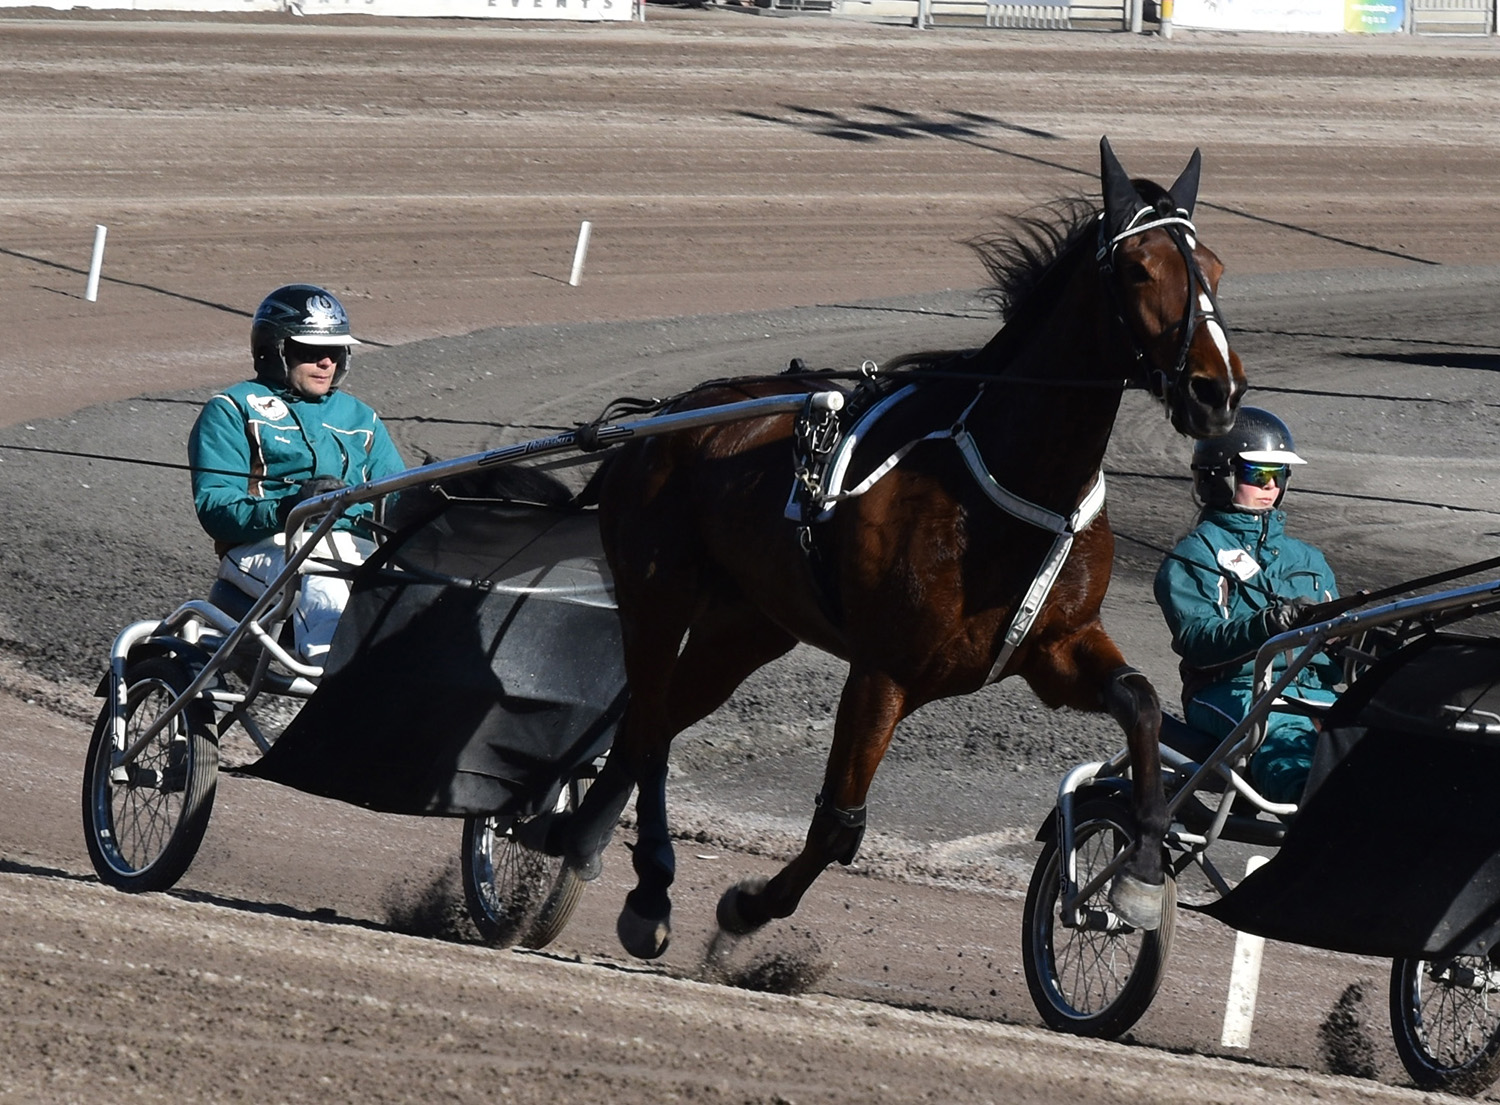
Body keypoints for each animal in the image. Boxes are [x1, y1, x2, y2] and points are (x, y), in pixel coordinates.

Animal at [552, 137, 1242, 959]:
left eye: (1217, 270)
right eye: (1139, 268)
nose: (1215, 392)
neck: (1007, 477)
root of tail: (654, 423)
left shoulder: (1056, 647)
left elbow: (1140, 702)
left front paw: (1138, 870)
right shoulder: (885, 669)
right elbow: (838, 825)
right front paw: (744, 911)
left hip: (746, 628)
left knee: (650, 726)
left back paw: (613, 867)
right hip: (657, 596)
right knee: (649, 726)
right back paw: (622, 867)